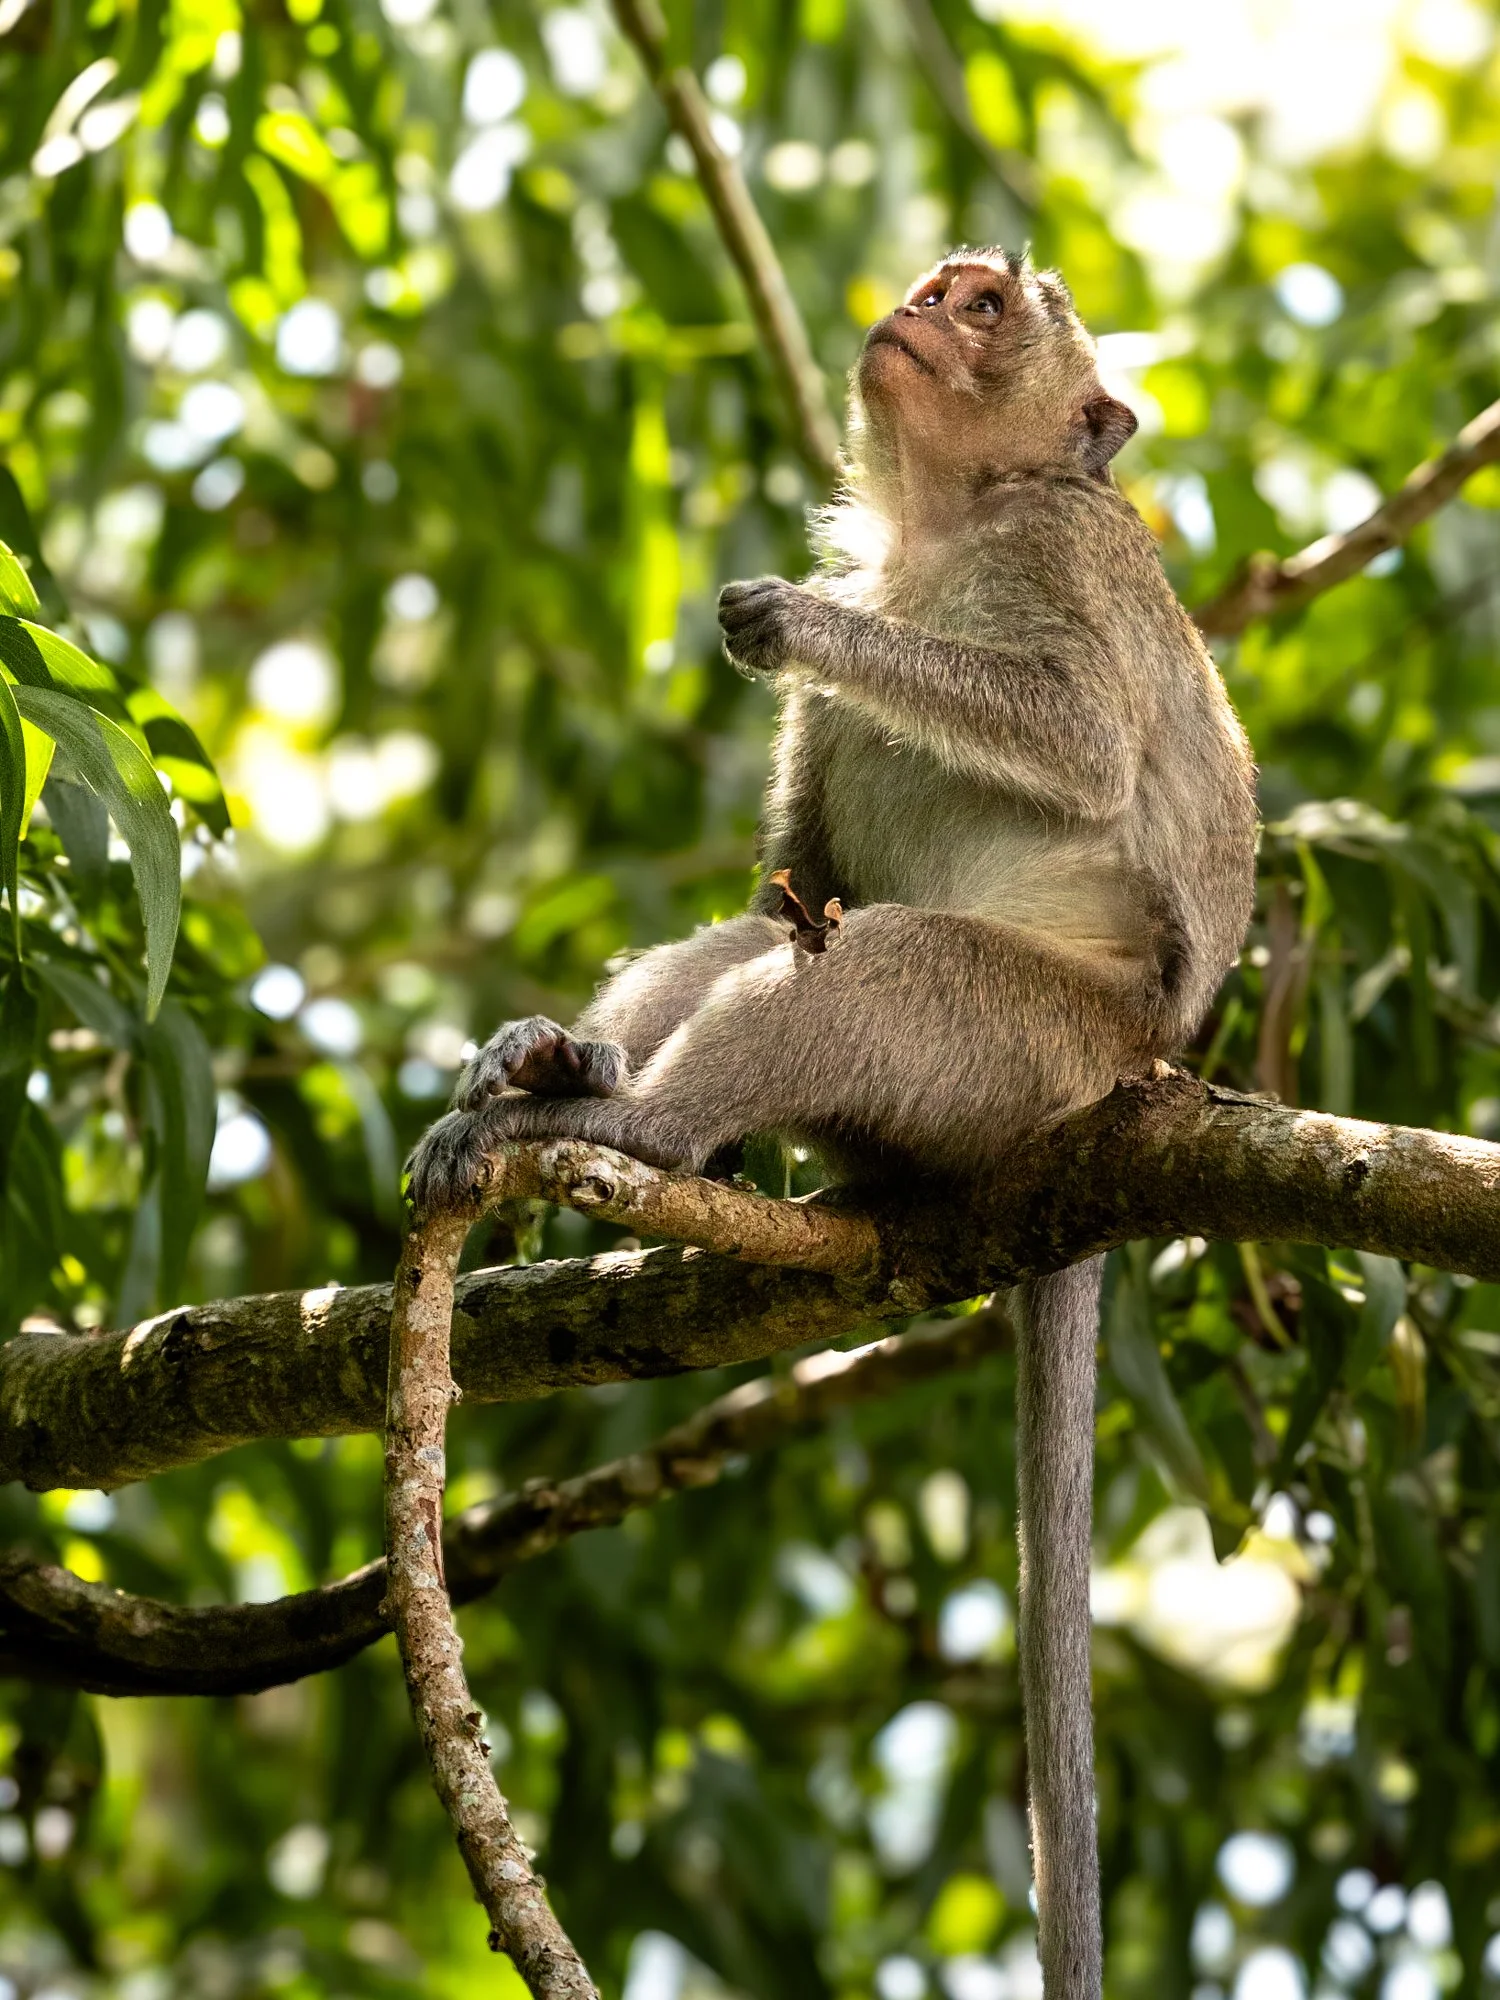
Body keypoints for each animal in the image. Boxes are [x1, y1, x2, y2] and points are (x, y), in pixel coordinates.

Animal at [408, 249, 1257, 1999]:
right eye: (947, 283)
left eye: (995, 304)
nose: (923, 301)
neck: (940, 530)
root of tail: (1137, 1083)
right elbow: (785, 881)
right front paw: (549, 1045)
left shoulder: (1062, 554)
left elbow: (1072, 737)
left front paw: (800, 624)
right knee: (773, 943)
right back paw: (570, 1077)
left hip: (1024, 1053)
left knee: (875, 969)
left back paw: (649, 1137)